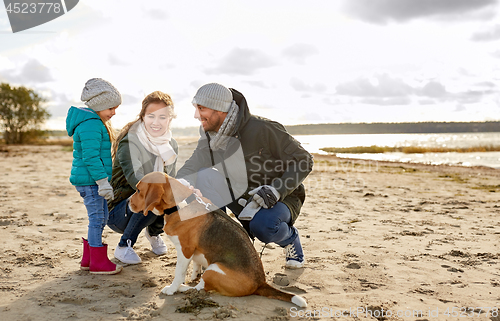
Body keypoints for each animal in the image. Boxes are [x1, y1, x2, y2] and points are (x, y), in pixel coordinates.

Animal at [128, 171, 308, 306]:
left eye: (138, 191)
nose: (128, 202)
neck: (179, 204)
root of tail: (261, 282)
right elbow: (196, 262)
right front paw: (194, 274)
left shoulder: (184, 250)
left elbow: (178, 273)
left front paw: (172, 288)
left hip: (214, 269)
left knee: (200, 289)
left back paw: (182, 288)